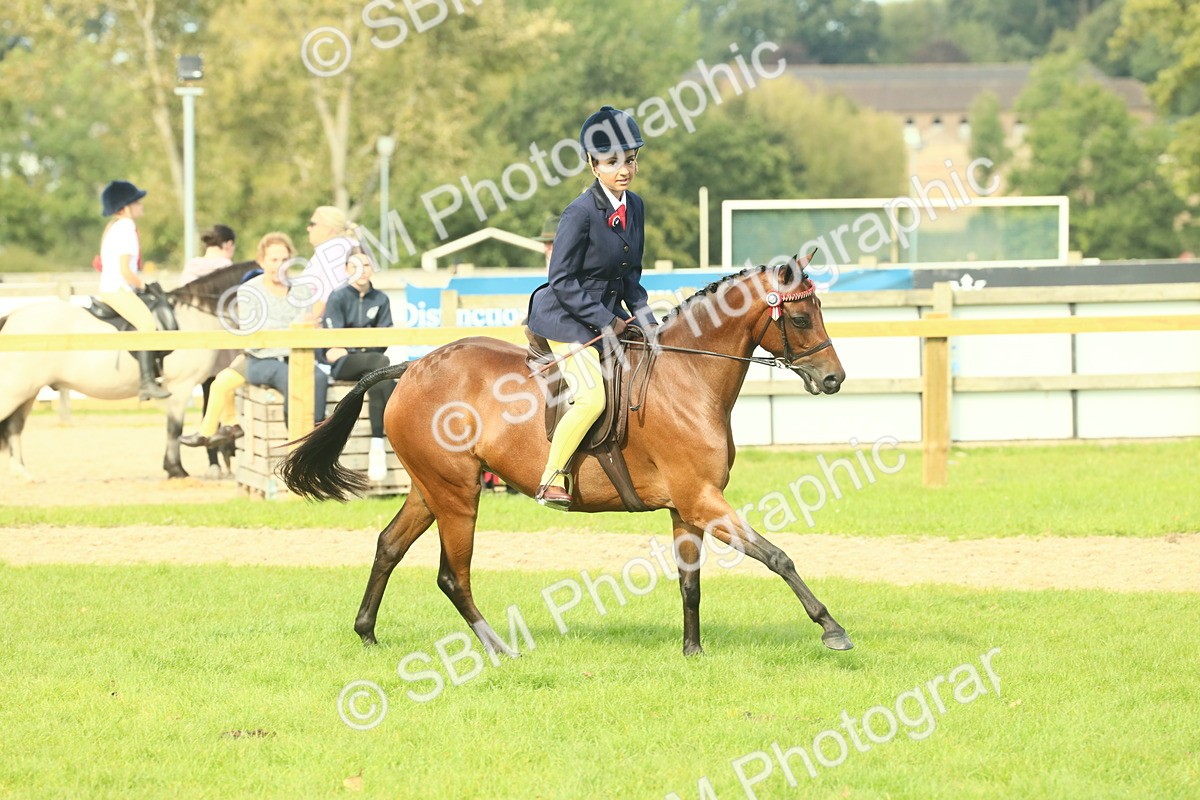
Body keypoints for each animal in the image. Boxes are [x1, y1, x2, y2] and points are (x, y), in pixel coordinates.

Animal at [0, 263, 250, 480]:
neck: (196, 318)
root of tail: (12, 317)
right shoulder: (182, 385)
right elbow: (174, 428)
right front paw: (176, 469)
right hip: (15, 391)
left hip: (27, 393)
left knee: (14, 428)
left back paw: (23, 473)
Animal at [279, 260, 854, 656]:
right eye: (800, 317)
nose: (834, 379)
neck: (687, 377)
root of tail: (414, 366)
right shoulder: (702, 499)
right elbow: (776, 556)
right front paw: (831, 628)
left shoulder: (686, 508)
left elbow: (690, 582)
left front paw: (693, 651)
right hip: (457, 495)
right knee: (452, 575)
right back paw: (496, 647)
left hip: (430, 488)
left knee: (388, 547)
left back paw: (367, 633)